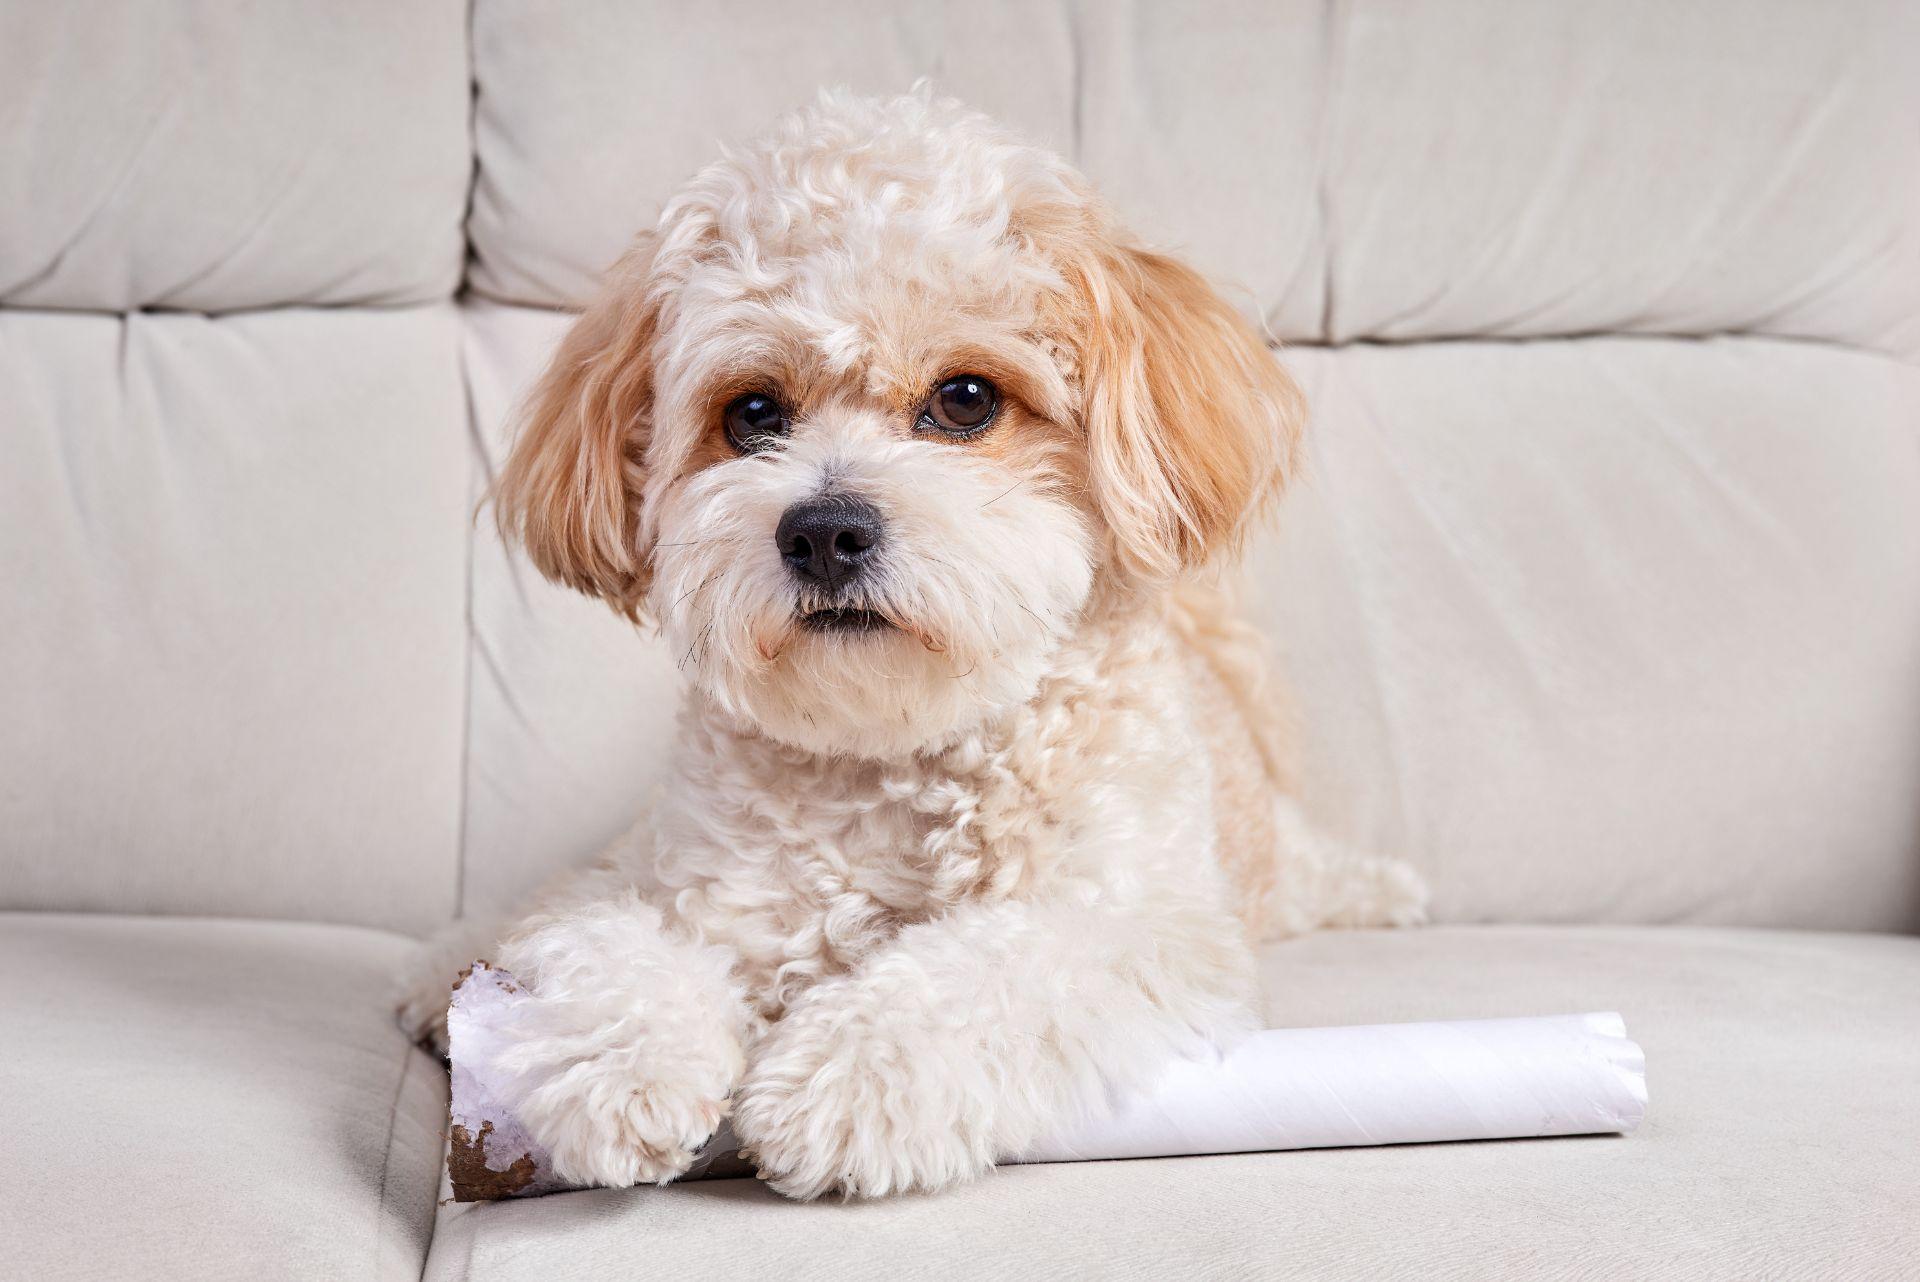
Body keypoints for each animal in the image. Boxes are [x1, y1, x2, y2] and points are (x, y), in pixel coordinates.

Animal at [401, 87, 1428, 1205]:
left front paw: (844, 1078)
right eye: (752, 413)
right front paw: (623, 1061)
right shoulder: (692, 887)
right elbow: (603, 933)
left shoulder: (1139, 924)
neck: (894, 757)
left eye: (966, 398)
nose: (822, 531)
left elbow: (988, 972)